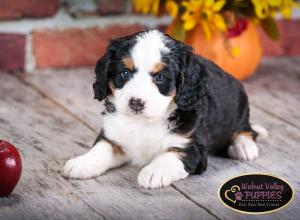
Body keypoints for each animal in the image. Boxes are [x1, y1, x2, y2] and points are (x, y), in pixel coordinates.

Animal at [62, 29, 268, 189]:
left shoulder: (191, 148)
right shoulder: (114, 136)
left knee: (246, 129)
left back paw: (243, 146)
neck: (144, 123)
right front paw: (83, 162)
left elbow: (170, 156)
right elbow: (101, 148)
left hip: (240, 102)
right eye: (125, 73)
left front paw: (154, 171)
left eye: (160, 77)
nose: (136, 103)